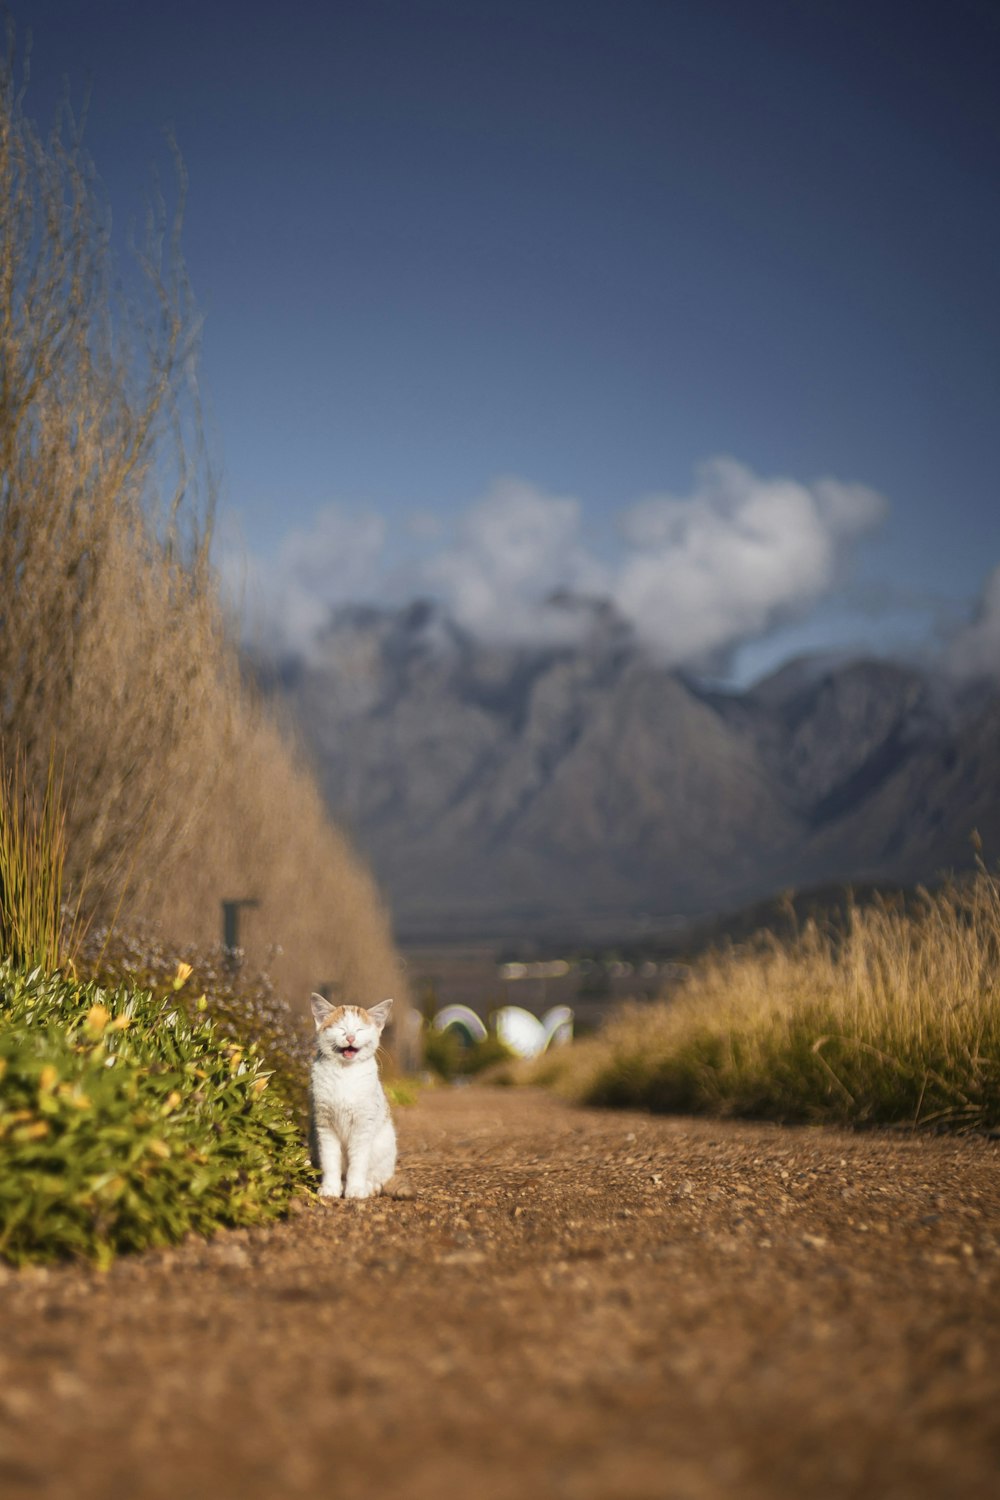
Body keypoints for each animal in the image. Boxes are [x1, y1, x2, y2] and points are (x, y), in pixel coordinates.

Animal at [308, 996, 398, 1194]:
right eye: (341, 1028)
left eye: (360, 1029)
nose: (350, 1037)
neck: (345, 1073)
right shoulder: (325, 1127)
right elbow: (330, 1161)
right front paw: (330, 1187)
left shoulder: (362, 1126)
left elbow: (358, 1162)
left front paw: (356, 1189)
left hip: (385, 1147)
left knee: (379, 1176)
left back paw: (368, 1186)